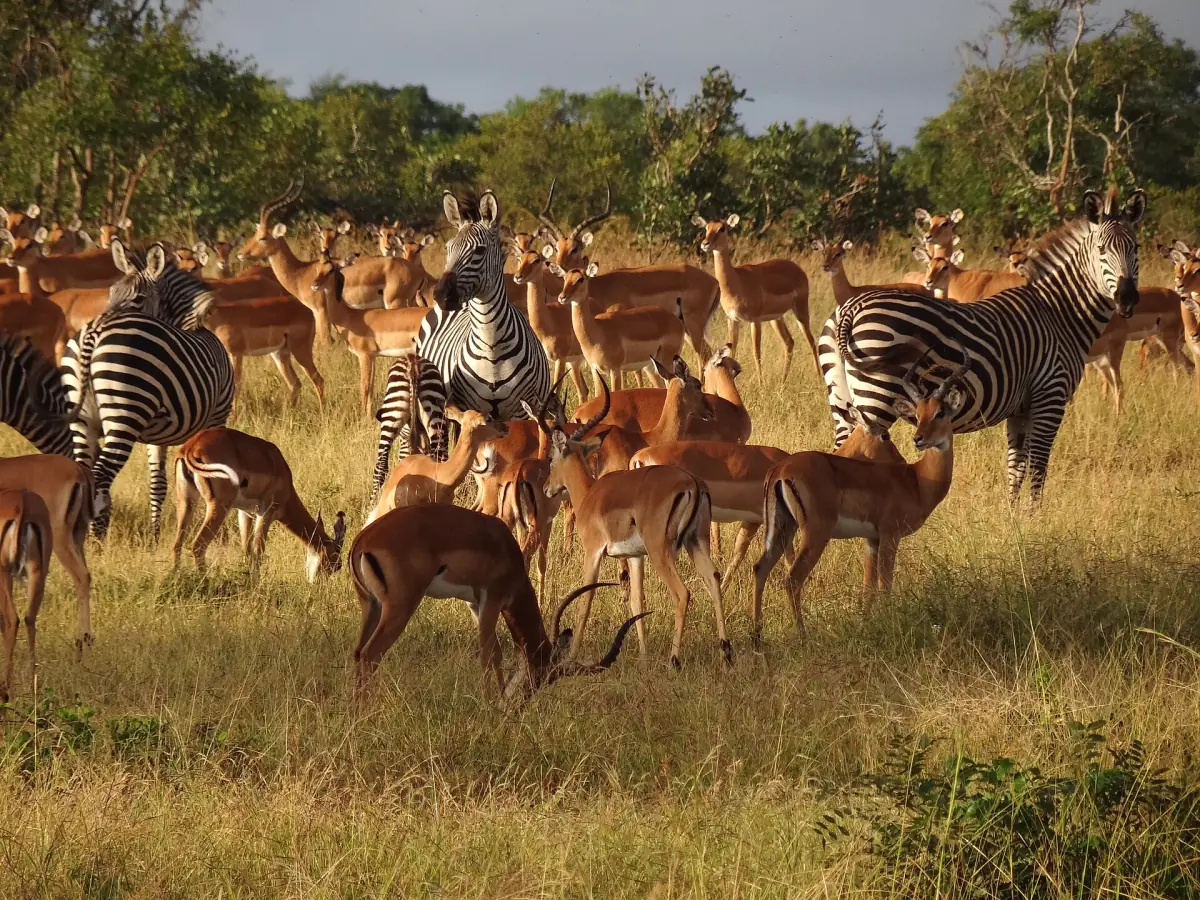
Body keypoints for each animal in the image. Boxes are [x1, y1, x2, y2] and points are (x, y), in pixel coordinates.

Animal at [61, 241, 234, 538]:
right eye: (111, 293)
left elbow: (157, 483)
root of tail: (96, 329)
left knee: (84, 472)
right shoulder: (218, 415)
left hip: (83, 419)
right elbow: (206, 474)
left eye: (138, 298)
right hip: (124, 412)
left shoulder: (159, 434)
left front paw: (154, 536)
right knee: (100, 476)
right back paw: (97, 538)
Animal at [413, 190, 550, 421]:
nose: (441, 295)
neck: (491, 344)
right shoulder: (466, 408)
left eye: (479, 250)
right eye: (448, 248)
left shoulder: (521, 412)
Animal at [821, 187, 1145, 501]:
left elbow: (1016, 468)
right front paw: (1035, 514)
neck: (1060, 313)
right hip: (875, 400)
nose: (1127, 298)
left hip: (841, 399)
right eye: (1102, 250)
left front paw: (1013, 515)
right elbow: (1038, 470)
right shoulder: (1050, 396)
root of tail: (848, 309)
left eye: (1136, 248)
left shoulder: (1020, 409)